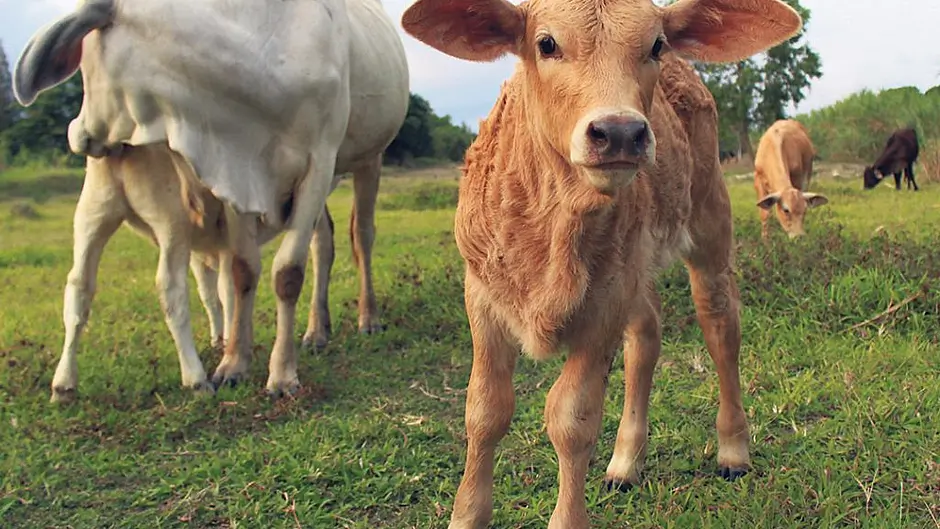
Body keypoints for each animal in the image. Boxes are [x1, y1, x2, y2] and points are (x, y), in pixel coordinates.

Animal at [12, 0, 409, 402]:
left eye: (81, 64)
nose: (76, 135)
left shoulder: (319, 162)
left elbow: (287, 273)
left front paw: (282, 375)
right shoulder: (236, 173)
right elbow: (242, 270)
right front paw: (234, 364)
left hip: (367, 158)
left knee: (361, 235)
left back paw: (368, 317)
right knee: (322, 241)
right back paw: (316, 330)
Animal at [401, 0, 801, 526]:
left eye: (655, 45)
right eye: (546, 43)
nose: (620, 132)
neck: (553, 224)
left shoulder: (605, 304)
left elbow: (572, 418)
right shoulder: (483, 296)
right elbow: (485, 411)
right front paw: (467, 514)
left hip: (709, 223)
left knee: (720, 327)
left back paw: (733, 449)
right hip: (634, 263)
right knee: (646, 337)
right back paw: (626, 462)